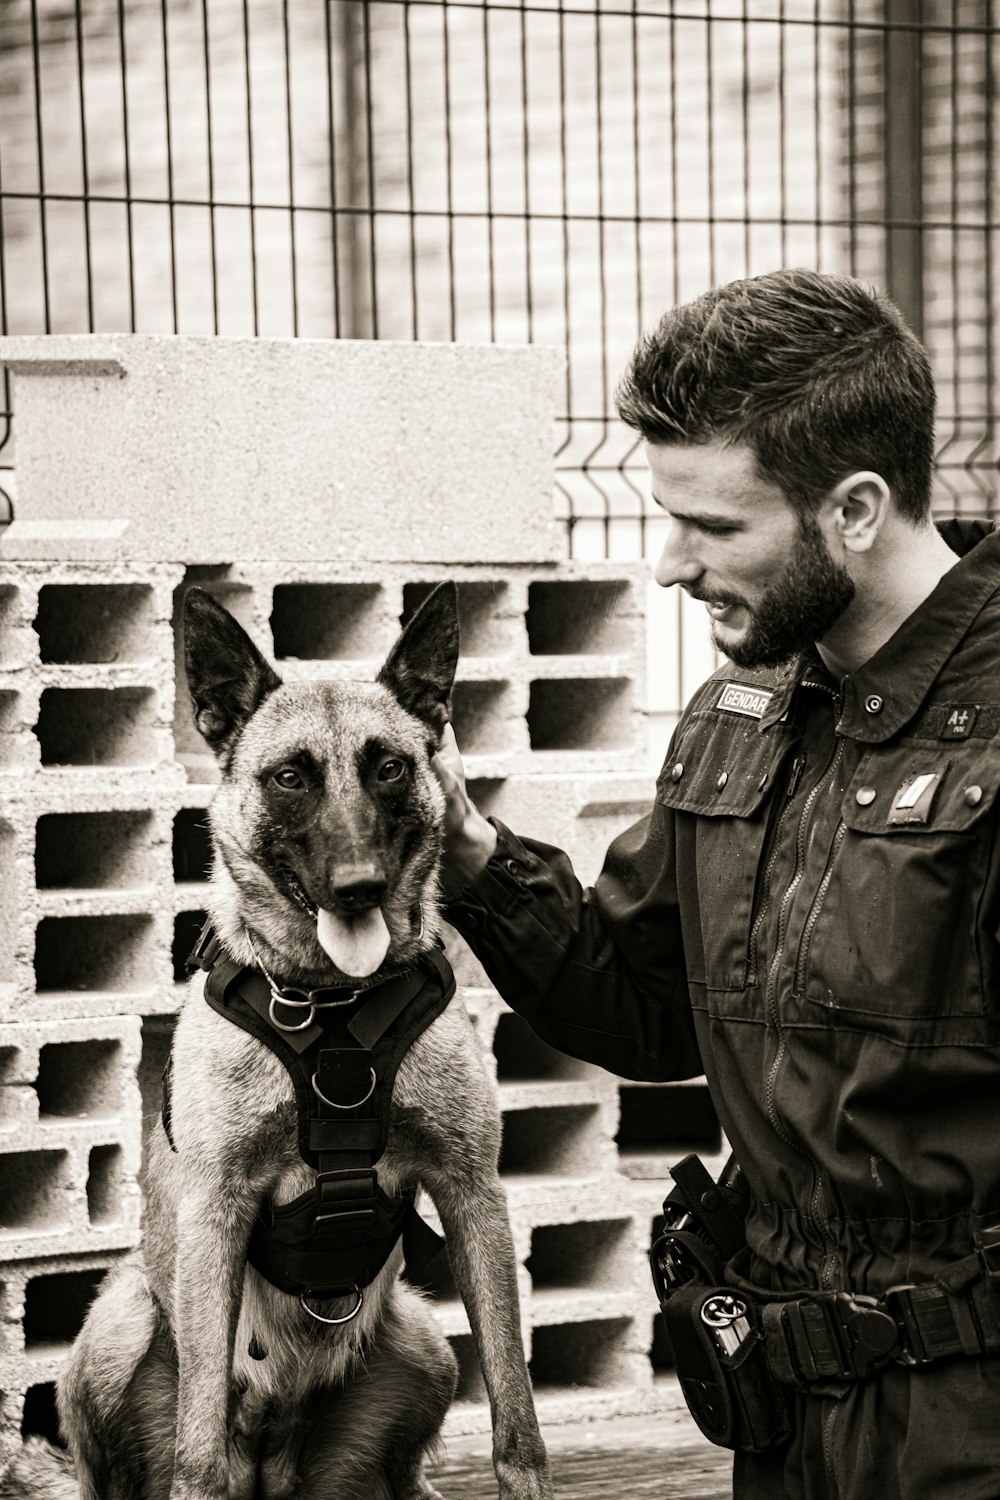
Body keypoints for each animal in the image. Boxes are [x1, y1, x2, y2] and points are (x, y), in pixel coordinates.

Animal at [0, 582, 551, 1500]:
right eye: (290, 777)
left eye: (390, 767)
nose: (359, 886)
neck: (332, 1009)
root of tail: (277, 1463)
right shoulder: (216, 1211)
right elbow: (197, 1447)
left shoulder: (475, 1196)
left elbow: (515, 1405)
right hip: (122, 1322)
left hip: (425, 1343)